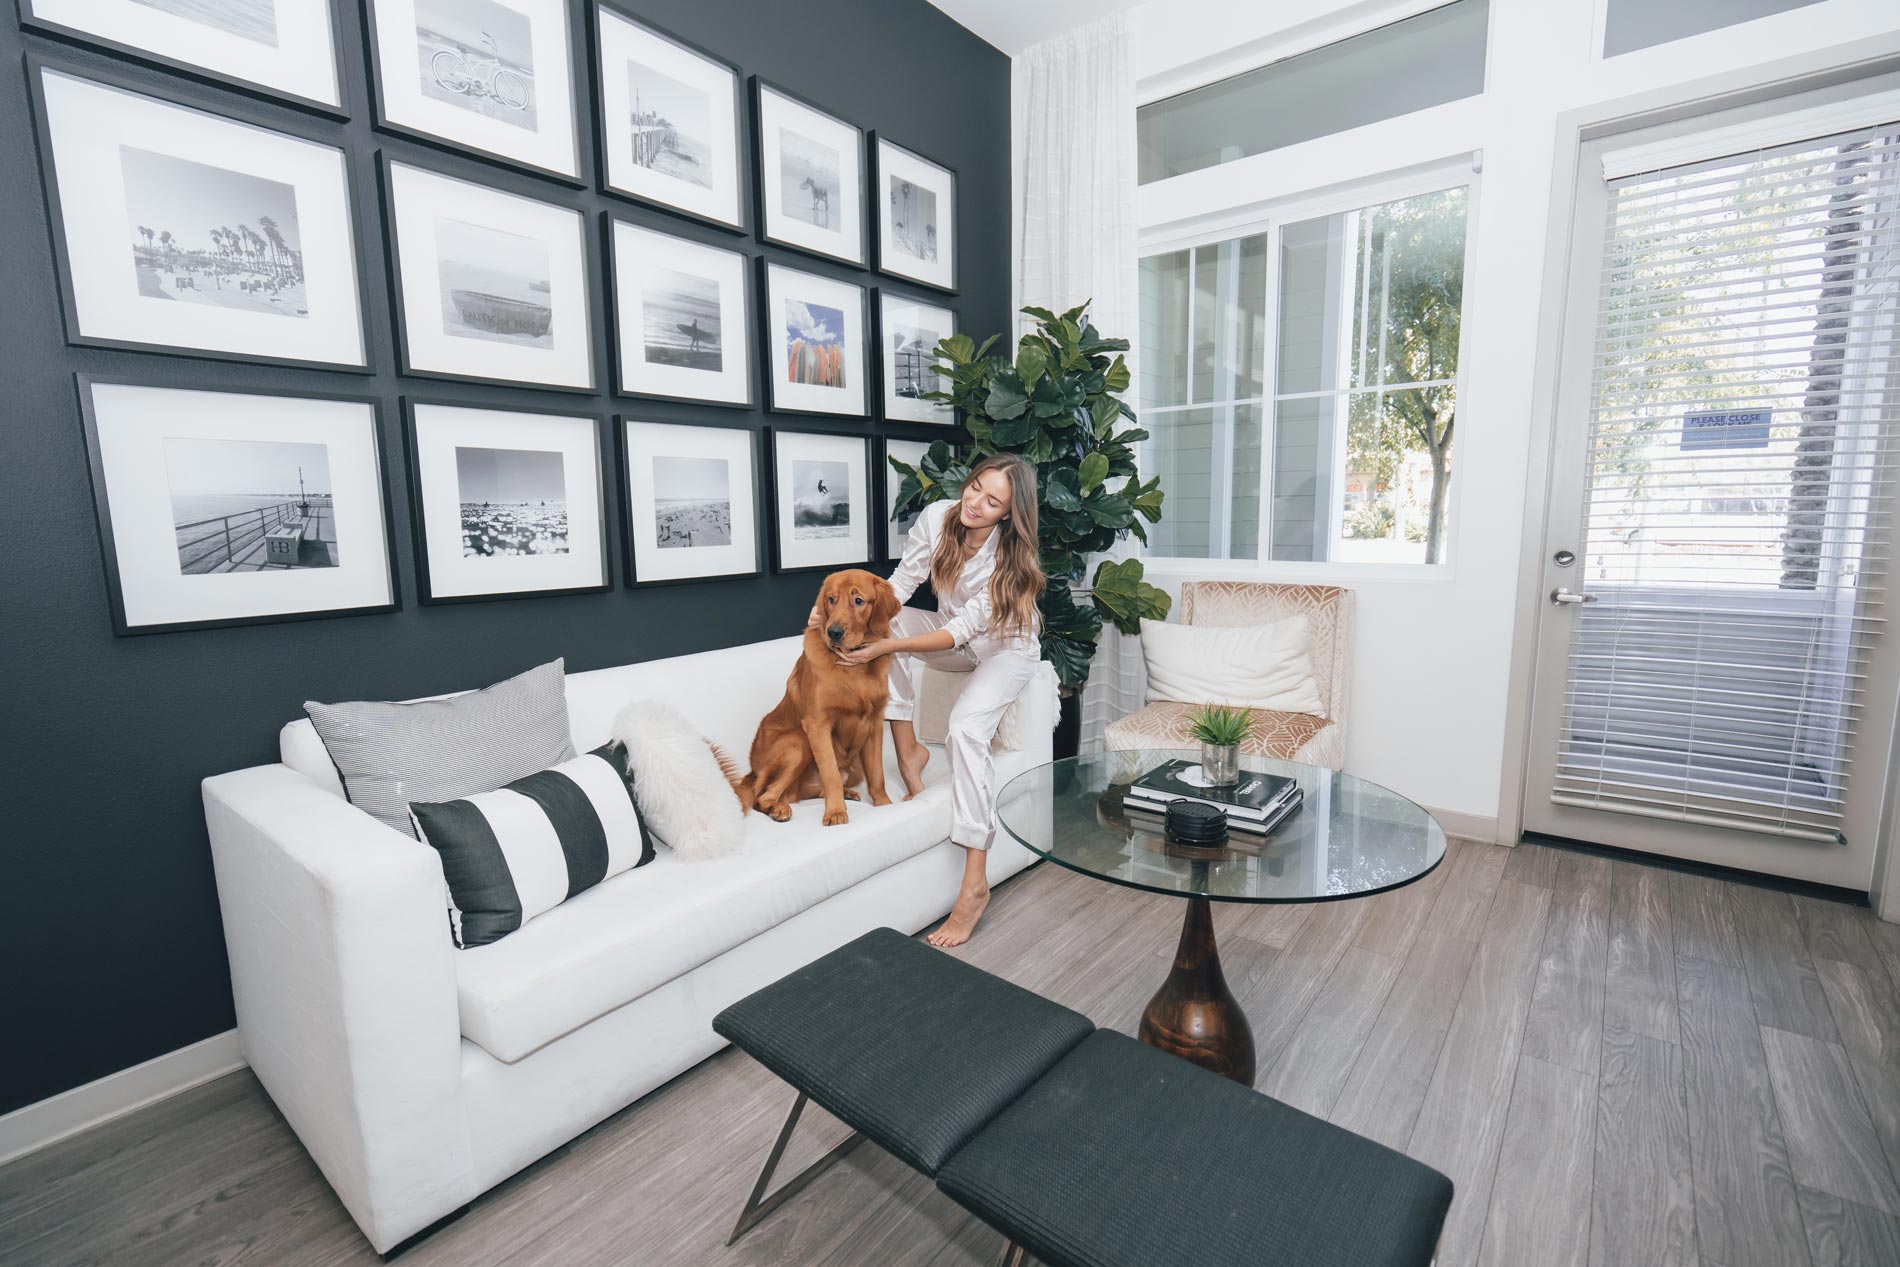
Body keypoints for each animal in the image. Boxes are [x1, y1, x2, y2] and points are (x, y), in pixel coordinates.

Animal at [729, 569, 900, 828]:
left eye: (858, 600)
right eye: (831, 599)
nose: (834, 632)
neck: (856, 671)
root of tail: (751, 772)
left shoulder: (874, 724)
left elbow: (877, 775)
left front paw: (884, 806)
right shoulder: (817, 724)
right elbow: (831, 774)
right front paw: (835, 812)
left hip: (853, 765)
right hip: (798, 743)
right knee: (763, 795)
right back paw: (778, 808)